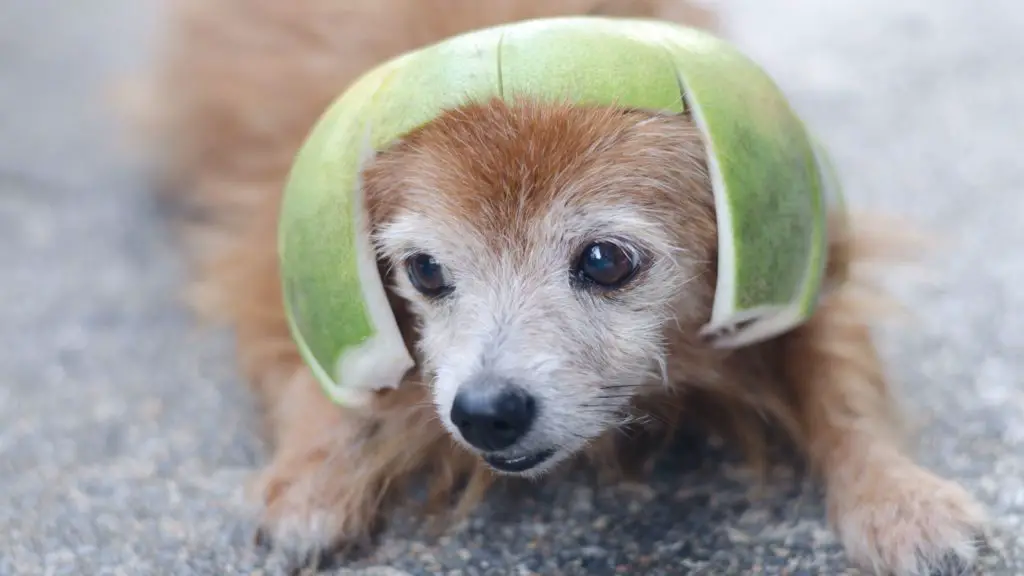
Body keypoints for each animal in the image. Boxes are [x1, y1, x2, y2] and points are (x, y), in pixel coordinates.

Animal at [125, 1, 983, 573]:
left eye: (605, 261)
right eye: (425, 270)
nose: (484, 412)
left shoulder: (796, 256)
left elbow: (842, 383)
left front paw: (899, 496)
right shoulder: (274, 251)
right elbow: (315, 372)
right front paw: (311, 480)